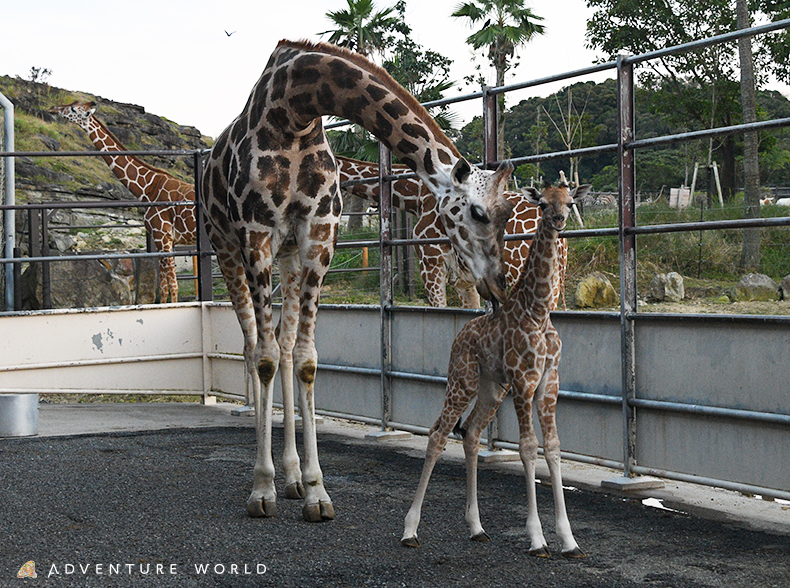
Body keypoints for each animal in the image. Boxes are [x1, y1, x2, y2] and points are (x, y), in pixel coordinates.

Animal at [49, 101, 196, 304]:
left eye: (73, 109)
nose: (52, 109)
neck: (145, 188)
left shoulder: (163, 236)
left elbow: (173, 286)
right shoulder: (162, 239)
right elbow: (164, 287)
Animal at [201, 39, 516, 520]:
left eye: (507, 216)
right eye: (479, 213)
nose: (497, 285)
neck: (294, 111)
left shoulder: (318, 237)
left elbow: (306, 359)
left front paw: (315, 491)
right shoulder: (255, 235)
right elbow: (265, 357)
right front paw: (261, 490)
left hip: (288, 259)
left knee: (285, 346)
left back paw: (292, 477)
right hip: (226, 248)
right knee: (256, 348)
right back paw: (271, 476)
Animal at [406, 178, 592, 556]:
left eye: (568, 201)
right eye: (543, 204)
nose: (560, 220)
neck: (538, 310)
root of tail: (460, 334)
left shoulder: (549, 382)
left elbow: (553, 447)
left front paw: (569, 540)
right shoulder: (524, 380)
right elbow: (528, 447)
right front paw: (536, 539)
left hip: (491, 388)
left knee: (472, 431)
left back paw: (477, 527)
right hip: (462, 380)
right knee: (438, 434)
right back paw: (410, 531)